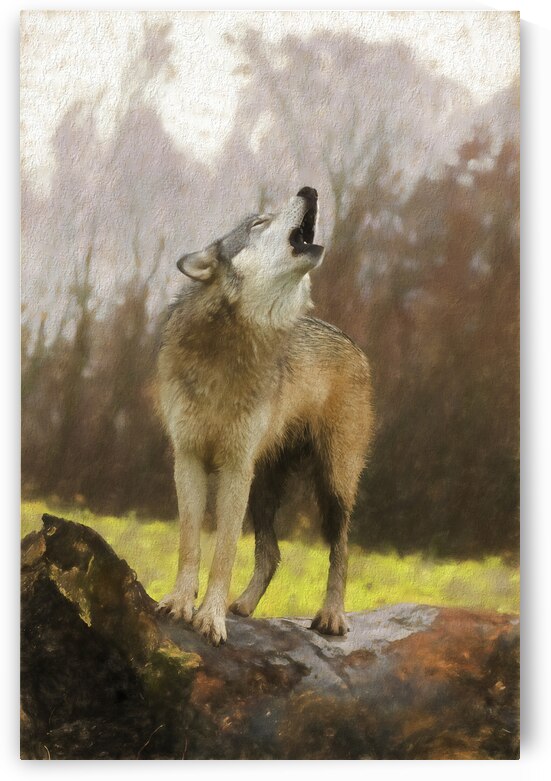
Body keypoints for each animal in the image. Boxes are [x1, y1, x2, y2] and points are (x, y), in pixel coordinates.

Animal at [157, 187, 373, 645]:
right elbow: (190, 541)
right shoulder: (188, 459)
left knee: (342, 548)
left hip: (332, 482)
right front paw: (181, 604)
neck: (229, 349)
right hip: (263, 487)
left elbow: (224, 552)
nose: (309, 190)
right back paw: (242, 606)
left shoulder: (235, 467)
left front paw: (210, 619)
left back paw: (332, 616)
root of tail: (351, 341)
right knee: (272, 554)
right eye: (258, 223)